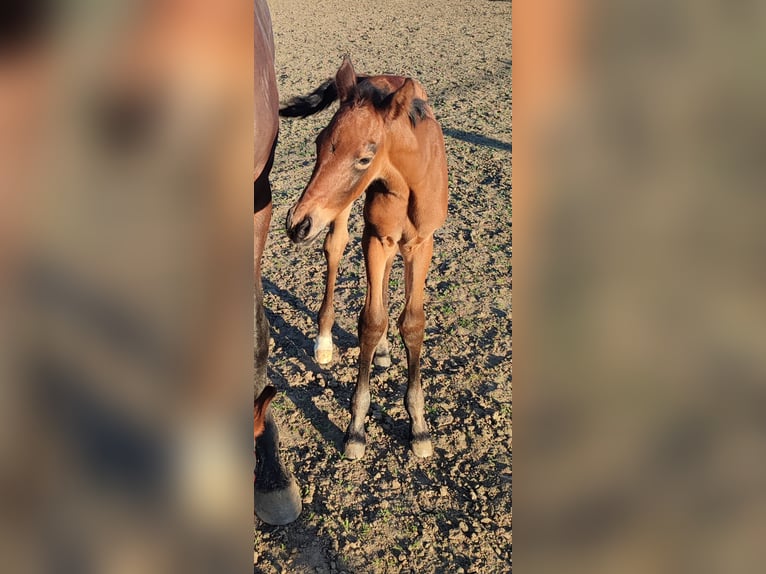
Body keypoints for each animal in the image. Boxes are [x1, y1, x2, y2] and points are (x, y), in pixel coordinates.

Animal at [282, 58, 450, 462]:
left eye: (364, 157)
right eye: (319, 143)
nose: (296, 224)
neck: (408, 183)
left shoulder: (422, 244)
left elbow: (413, 323)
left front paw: (419, 427)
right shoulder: (375, 238)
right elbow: (371, 322)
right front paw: (356, 428)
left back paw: (385, 353)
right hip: (344, 212)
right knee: (335, 246)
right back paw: (325, 340)